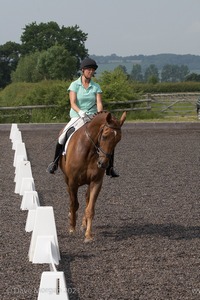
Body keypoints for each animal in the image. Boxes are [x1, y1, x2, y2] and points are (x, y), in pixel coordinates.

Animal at [59, 111, 126, 243]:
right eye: (104, 136)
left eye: (118, 140)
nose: (103, 164)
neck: (88, 151)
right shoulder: (72, 182)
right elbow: (74, 204)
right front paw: (72, 228)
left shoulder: (96, 182)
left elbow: (90, 208)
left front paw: (88, 235)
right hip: (67, 180)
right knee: (73, 200)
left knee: (86, 199)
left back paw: (83, 224)